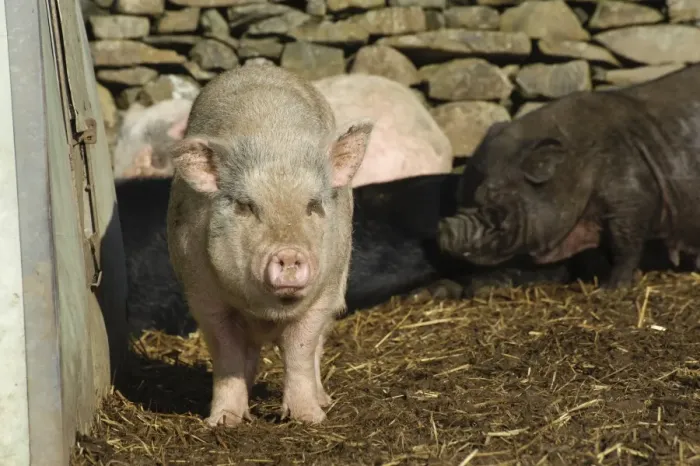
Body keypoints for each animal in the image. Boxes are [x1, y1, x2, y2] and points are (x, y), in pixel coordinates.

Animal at [165, 65, 373, 426]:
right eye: (246, 206)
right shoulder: (204, 297)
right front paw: (223, 421)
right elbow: (228, 357)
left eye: (313, 205)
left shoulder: (324, 293)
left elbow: (300, 351)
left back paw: (324, 400)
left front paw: (309, 419)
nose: (288, 253)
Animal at [437, 63, 700, 288]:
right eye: (459, 195)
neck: (579, 170)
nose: (445, 229)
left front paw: (610, 289)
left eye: (490, 196)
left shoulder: (632, 200)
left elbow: (624, 245)